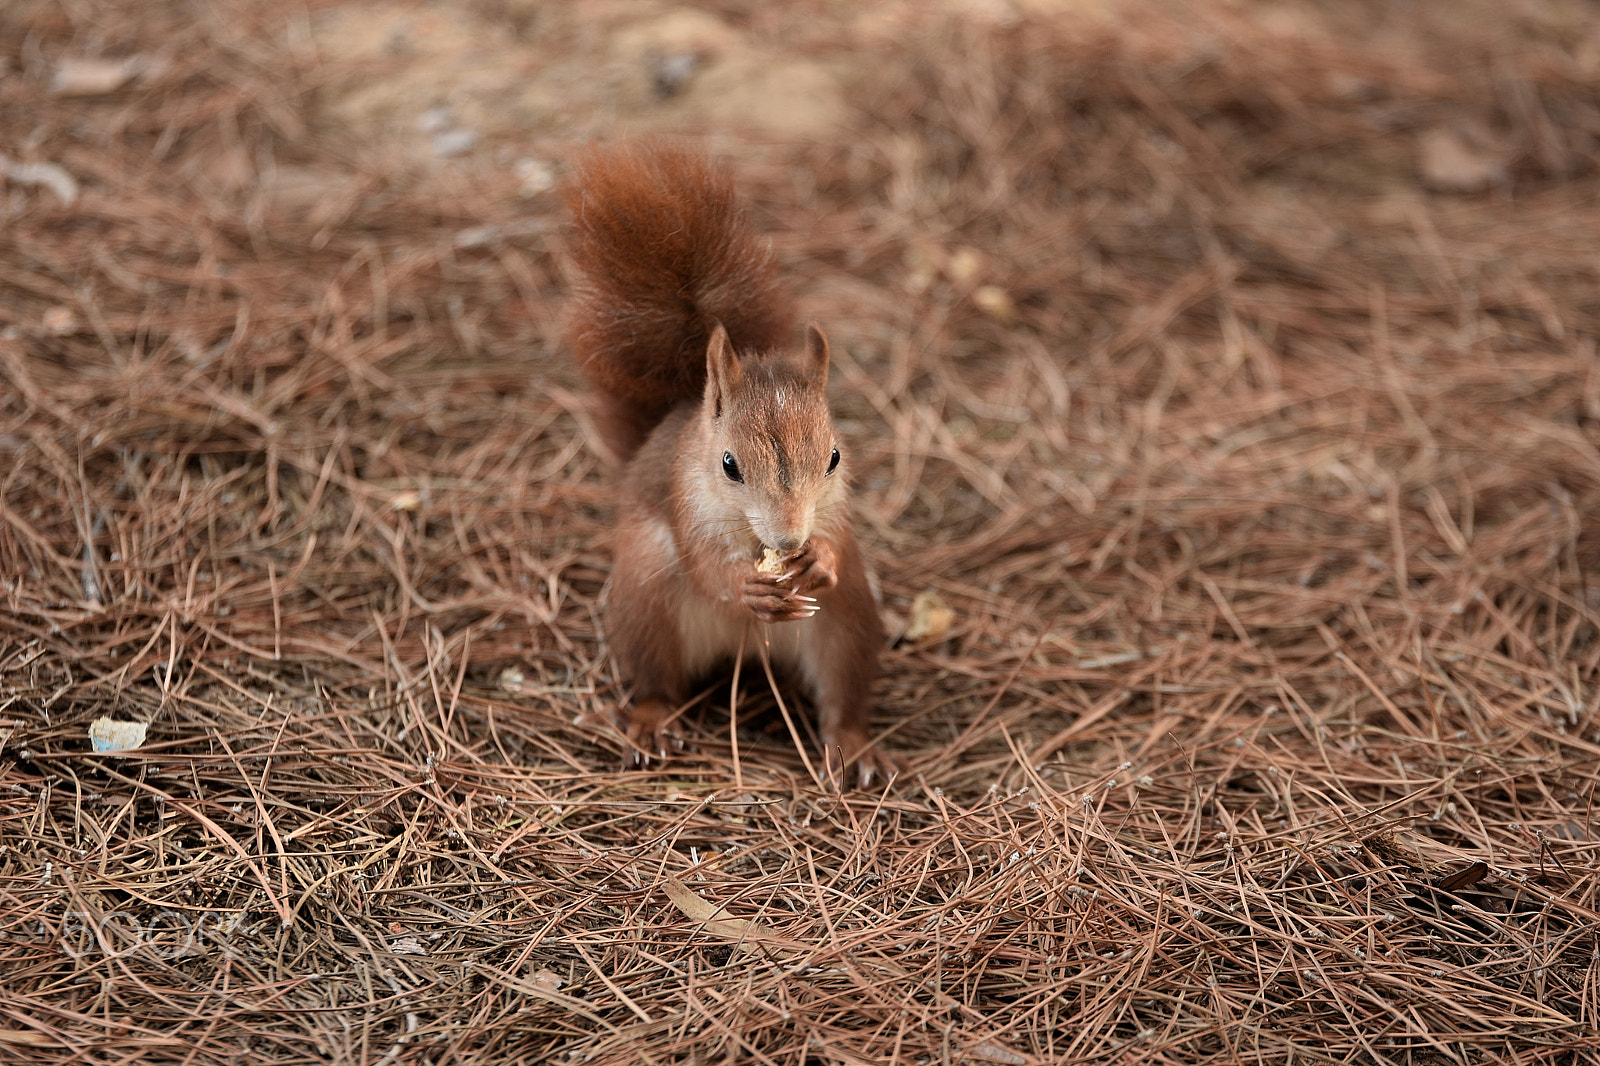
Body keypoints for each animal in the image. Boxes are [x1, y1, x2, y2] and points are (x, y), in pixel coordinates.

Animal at [563, 143, 897, 790]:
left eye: (835, 457)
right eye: (728, 465)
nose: (790, 540)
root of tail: (745, 653)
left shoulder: (838, 510)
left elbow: (837, 541)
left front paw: (817, 559)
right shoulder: (685, 502)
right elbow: (706, 568)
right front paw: (746, 586)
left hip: (849, 618)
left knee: (842, 694)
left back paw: (853, 747)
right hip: (644, 596)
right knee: (656, 680)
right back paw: (652, 722)